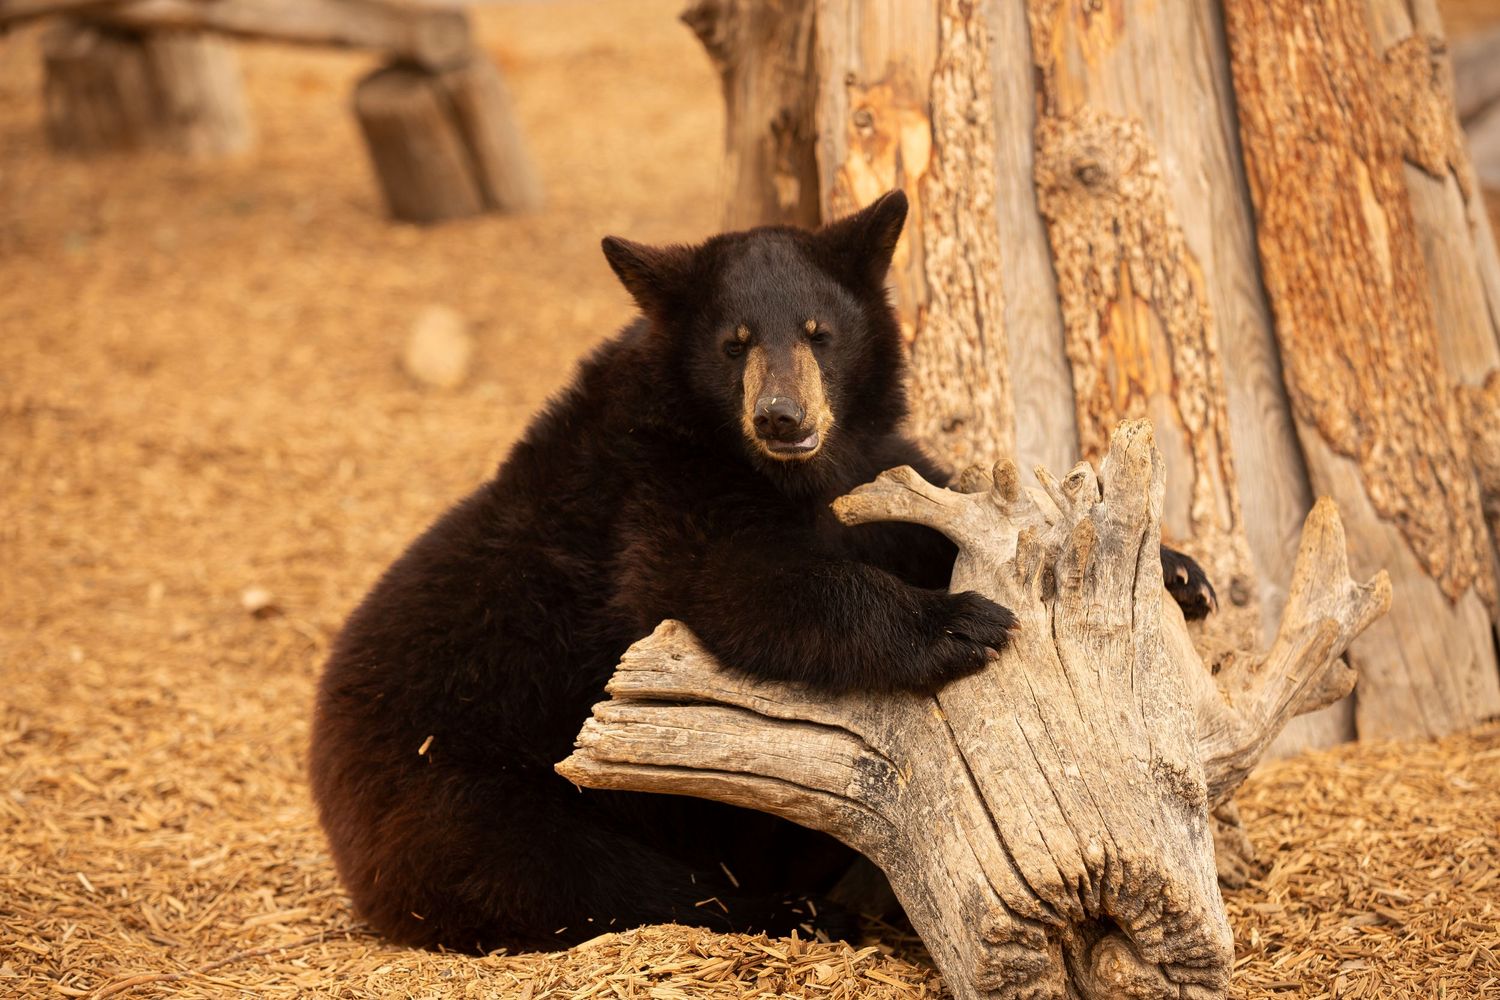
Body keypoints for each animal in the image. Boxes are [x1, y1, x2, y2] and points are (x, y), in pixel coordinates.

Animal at [307, 189, 1216, 955]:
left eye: (819, 332)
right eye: (734, 343)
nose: (782, 417)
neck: (770, 465)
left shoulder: (858, 460)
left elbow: (914, 515)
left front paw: (1179, 572)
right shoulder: (656, 494)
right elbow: (743, 583)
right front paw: (961, 622)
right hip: (472, 797)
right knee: (591, 880)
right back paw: (807, 912)